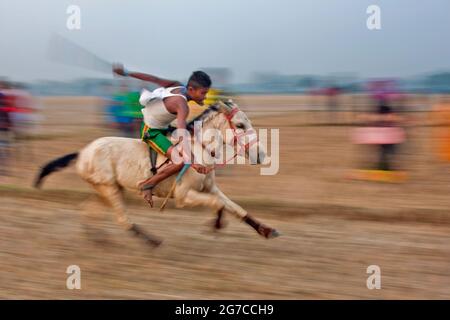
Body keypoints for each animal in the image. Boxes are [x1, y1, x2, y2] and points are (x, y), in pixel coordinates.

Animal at [35, 101, 280, 246]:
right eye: (239, 125)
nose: (260, 154)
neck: (200, 149)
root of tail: (82, 152)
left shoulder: (210, 188)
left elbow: (234, 207)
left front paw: (266, 230)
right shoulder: (183, 196)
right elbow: (218, 204)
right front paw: (216, 225)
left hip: (107, 189)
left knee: (88, 209)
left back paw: (96, 237)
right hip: (109, 189)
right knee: (122, 219)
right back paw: (152, 241)